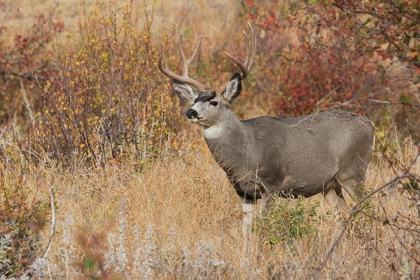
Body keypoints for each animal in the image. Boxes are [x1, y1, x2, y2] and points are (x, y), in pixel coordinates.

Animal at [158, 22, 374, 241]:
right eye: (195, 100)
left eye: (214, 102)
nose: (191, 112)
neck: (247, 149)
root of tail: (369, 124)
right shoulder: (244, 192)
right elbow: (247, 231)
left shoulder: (271, 184)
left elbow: (261, 227)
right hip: (330, 184)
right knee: (344, 214)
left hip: (353, 171)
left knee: (367, 207)